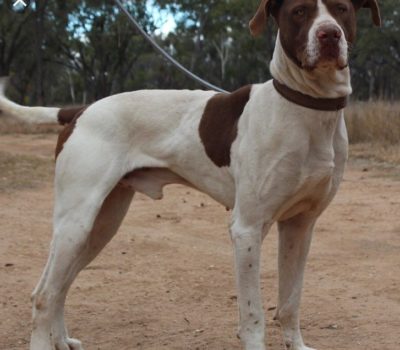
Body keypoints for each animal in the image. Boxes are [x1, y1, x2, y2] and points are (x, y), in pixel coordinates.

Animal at [0, 0, 382, 350]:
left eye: (342, 8)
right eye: (299, 11)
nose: (329, 34)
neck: (305, 107)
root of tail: (80, 110)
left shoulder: (300, 226)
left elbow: (290, 303)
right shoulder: (247, 229)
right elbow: (254, 315)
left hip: (100, 225)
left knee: (61, 288)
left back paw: (62, 339)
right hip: (76, 223)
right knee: (43, 294)